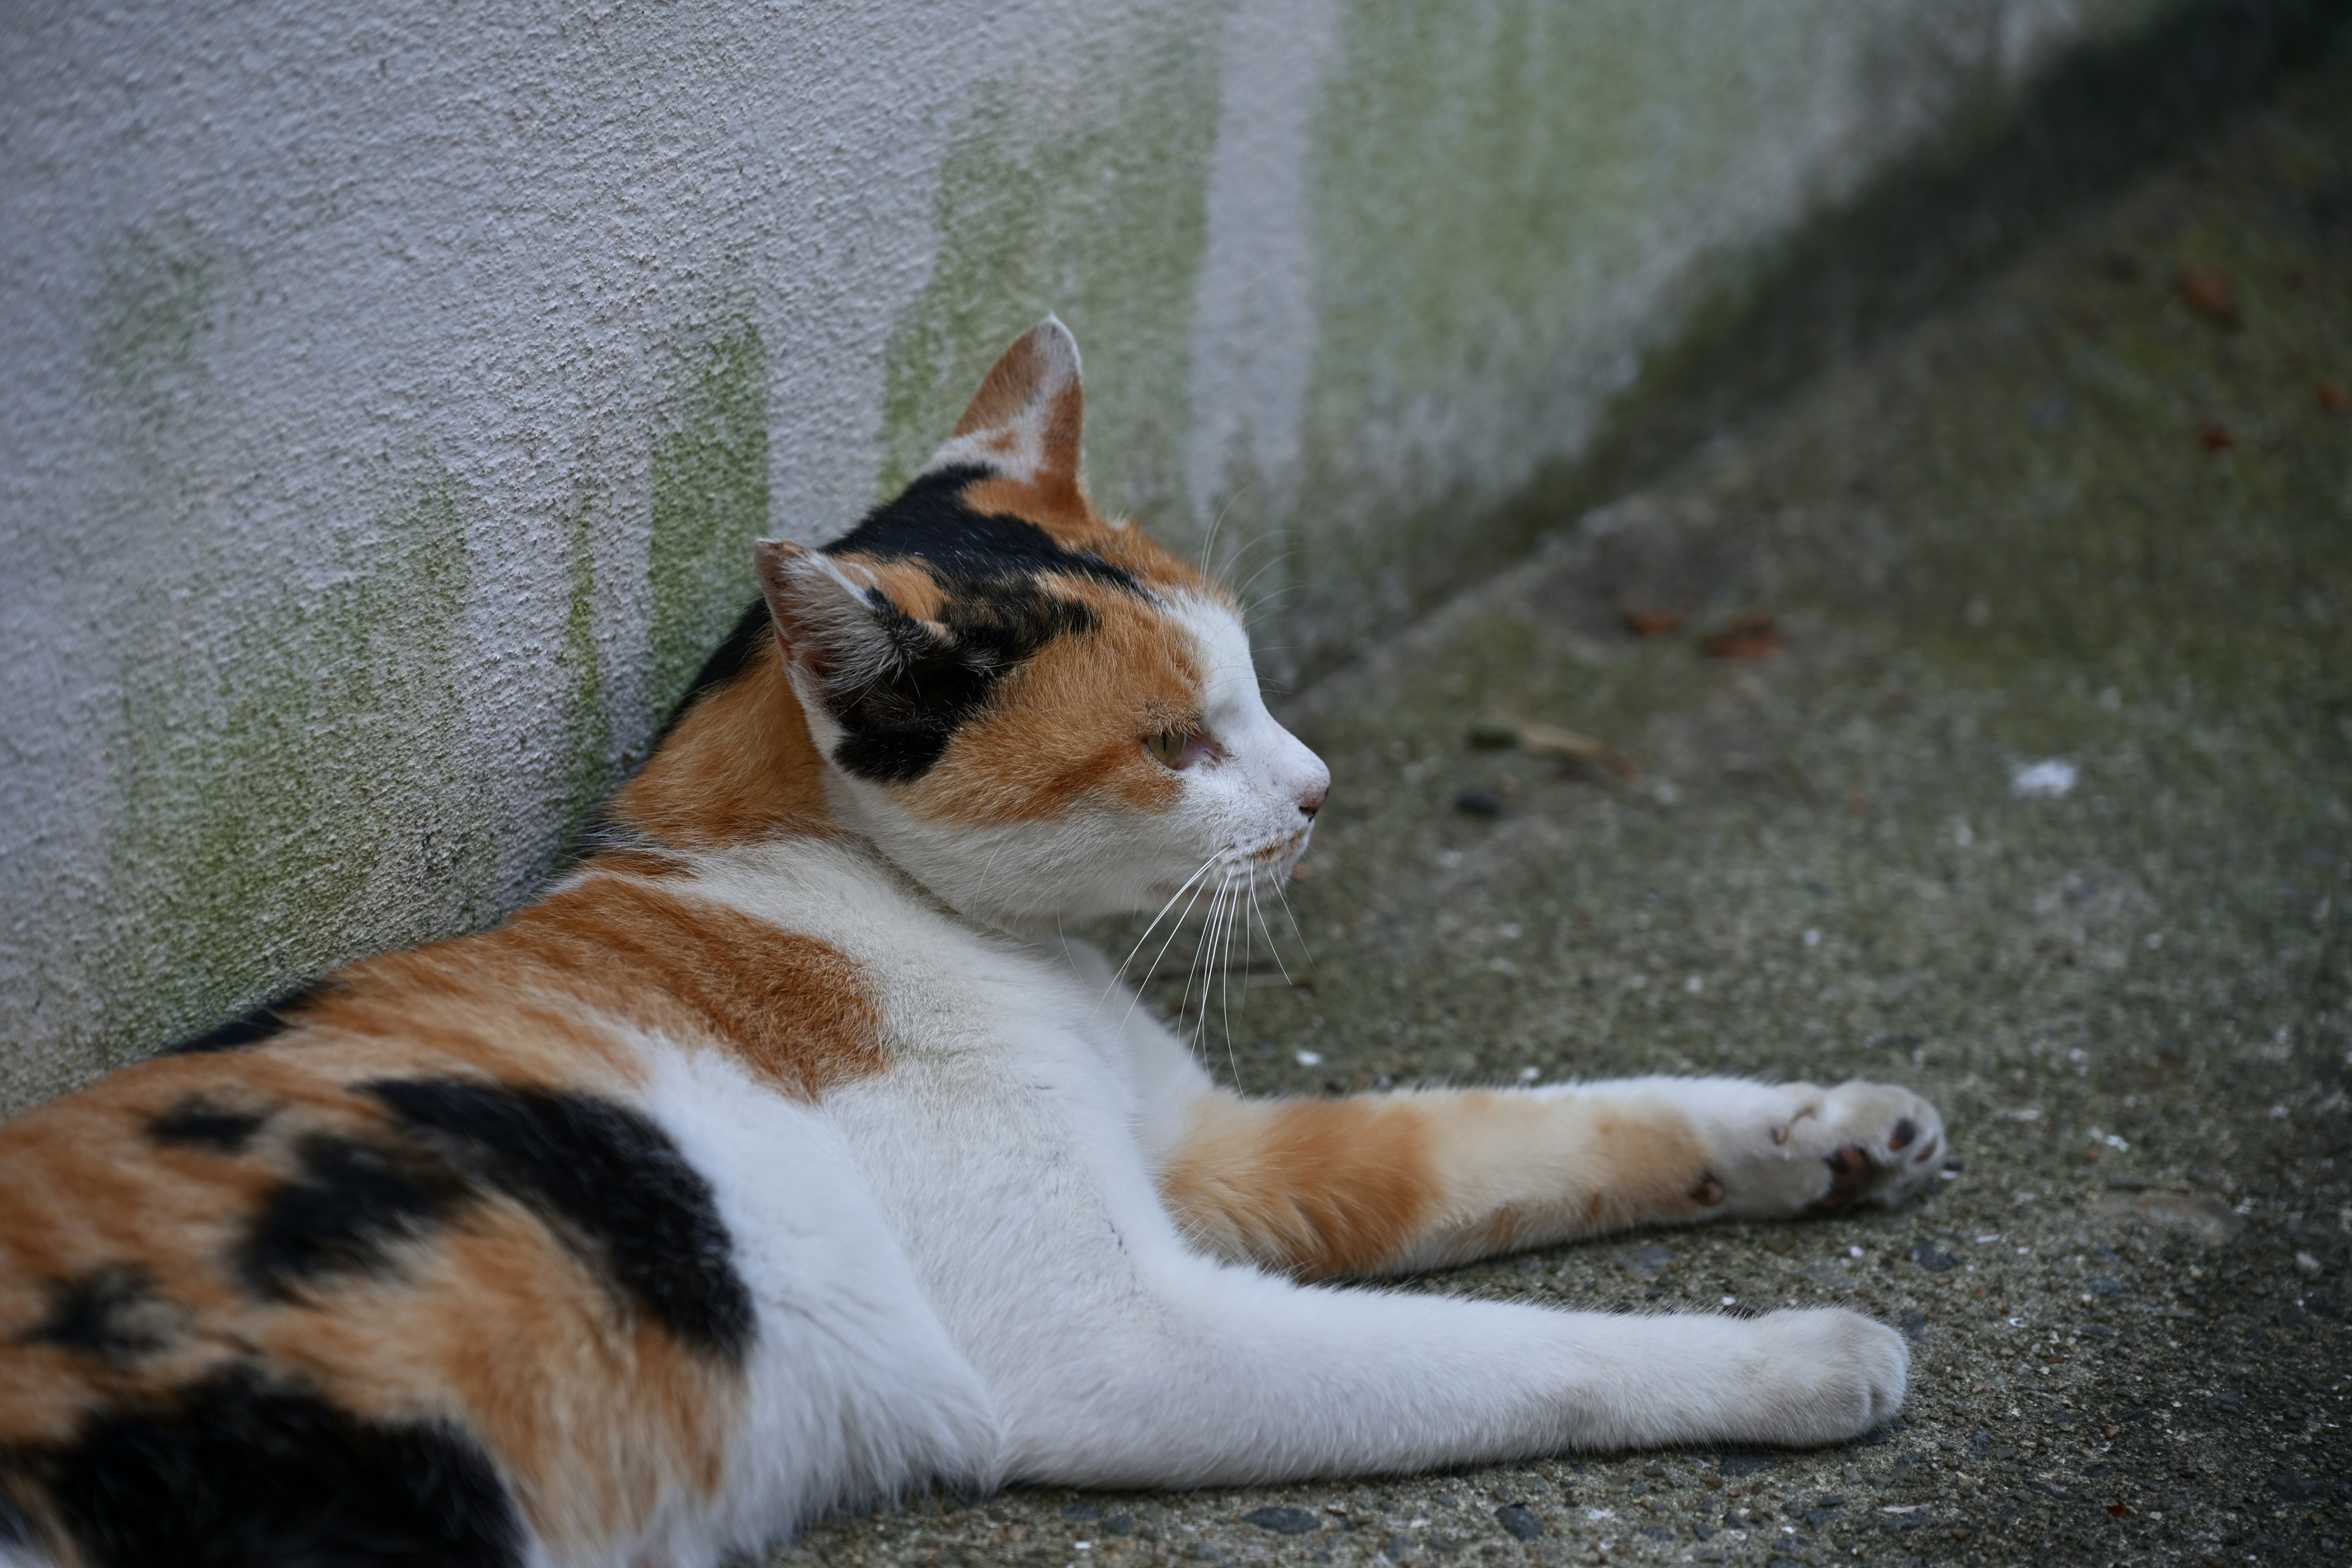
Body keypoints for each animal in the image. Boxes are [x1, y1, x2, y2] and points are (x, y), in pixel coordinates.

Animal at [0, 322, 1947, 1568]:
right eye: (1172, 743)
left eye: (1250, 689)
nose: (1320, 789)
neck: (852, 891)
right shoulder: (1131, 1339)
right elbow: (1516, 1356)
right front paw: (1797, 1357)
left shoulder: (1212, 1151)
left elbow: (1550, 1122)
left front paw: (1827, 1128)